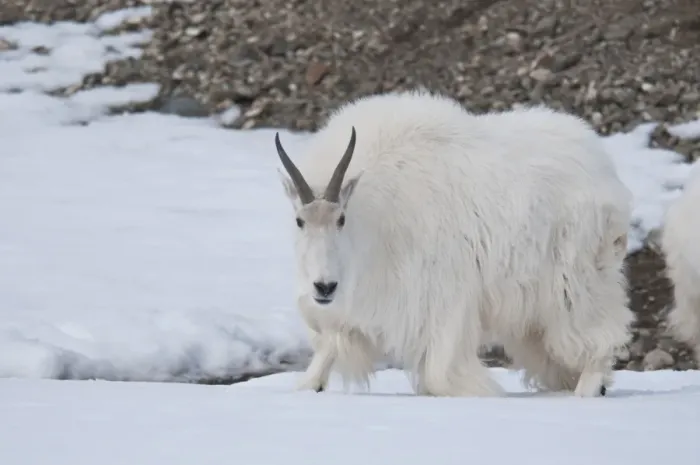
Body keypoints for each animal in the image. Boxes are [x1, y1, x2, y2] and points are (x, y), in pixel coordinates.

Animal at [274, 89, 634, 397]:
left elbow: (439, 372)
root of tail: (606, 173)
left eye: (341, 219)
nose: (324, 287)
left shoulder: (440, 297)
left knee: (601, 333)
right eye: (299, 221)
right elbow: (326, 352)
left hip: (576, 281)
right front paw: (308, 386)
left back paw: (588, 388)